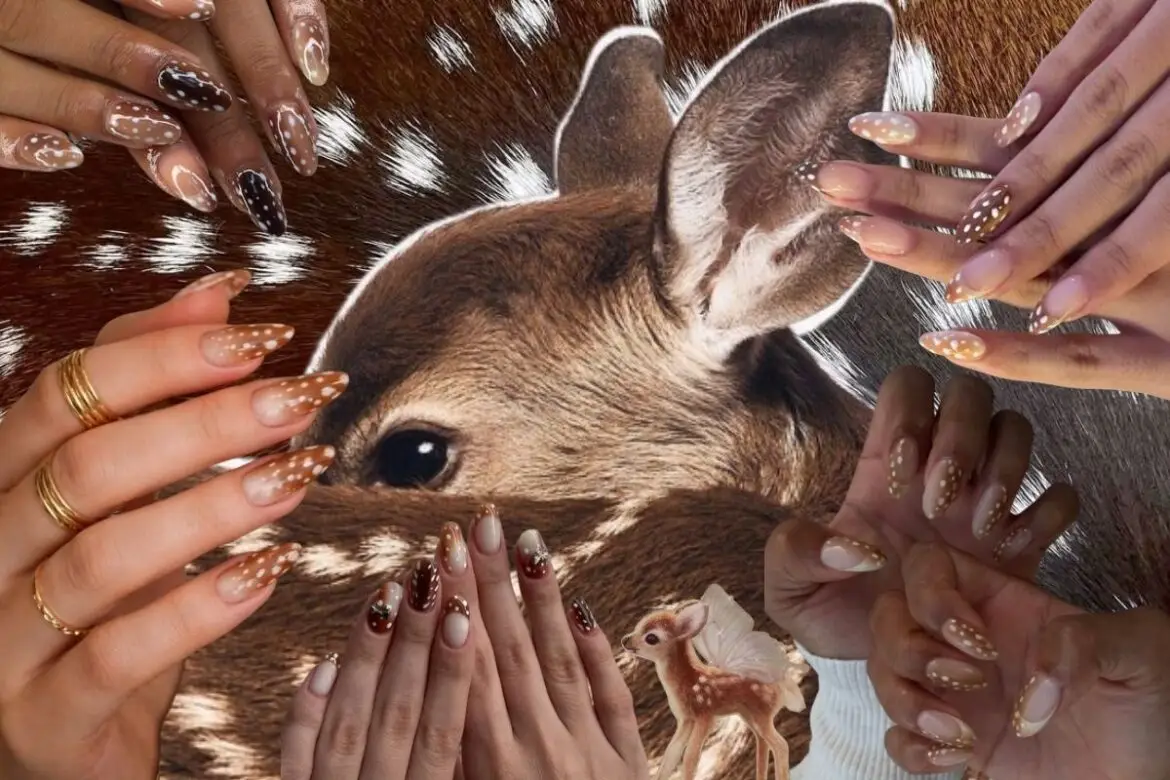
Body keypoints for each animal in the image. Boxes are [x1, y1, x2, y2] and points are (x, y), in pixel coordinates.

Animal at [623, 585, 808, 780]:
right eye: (639, 624)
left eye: (651, 638)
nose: (625, 640)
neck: (688, 682)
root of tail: (783, 684)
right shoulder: (685, 720)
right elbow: (671, 755)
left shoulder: (705, 715)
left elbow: (690, 758)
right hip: (748, 715)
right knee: (763, 742)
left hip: (761, 715)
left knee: (781, 745)